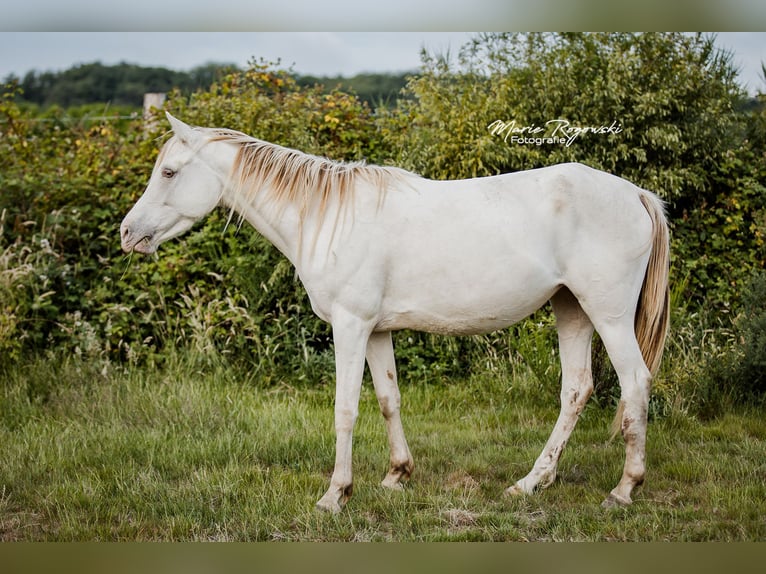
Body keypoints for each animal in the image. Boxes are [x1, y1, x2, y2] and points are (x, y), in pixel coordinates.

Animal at [120, 113, 670, 513]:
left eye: (169, 172)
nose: (128, 233)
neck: (326, 217)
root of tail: (636, 194)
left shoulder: (350, 326)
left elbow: (345, 408)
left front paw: (335, 495)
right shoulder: (376, 331)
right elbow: (388, 399)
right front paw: (395, 476)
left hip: (608, 316)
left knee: (635, 382)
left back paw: (625, 488)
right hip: (571, 309)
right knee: (576, 390)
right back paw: (531, 483)